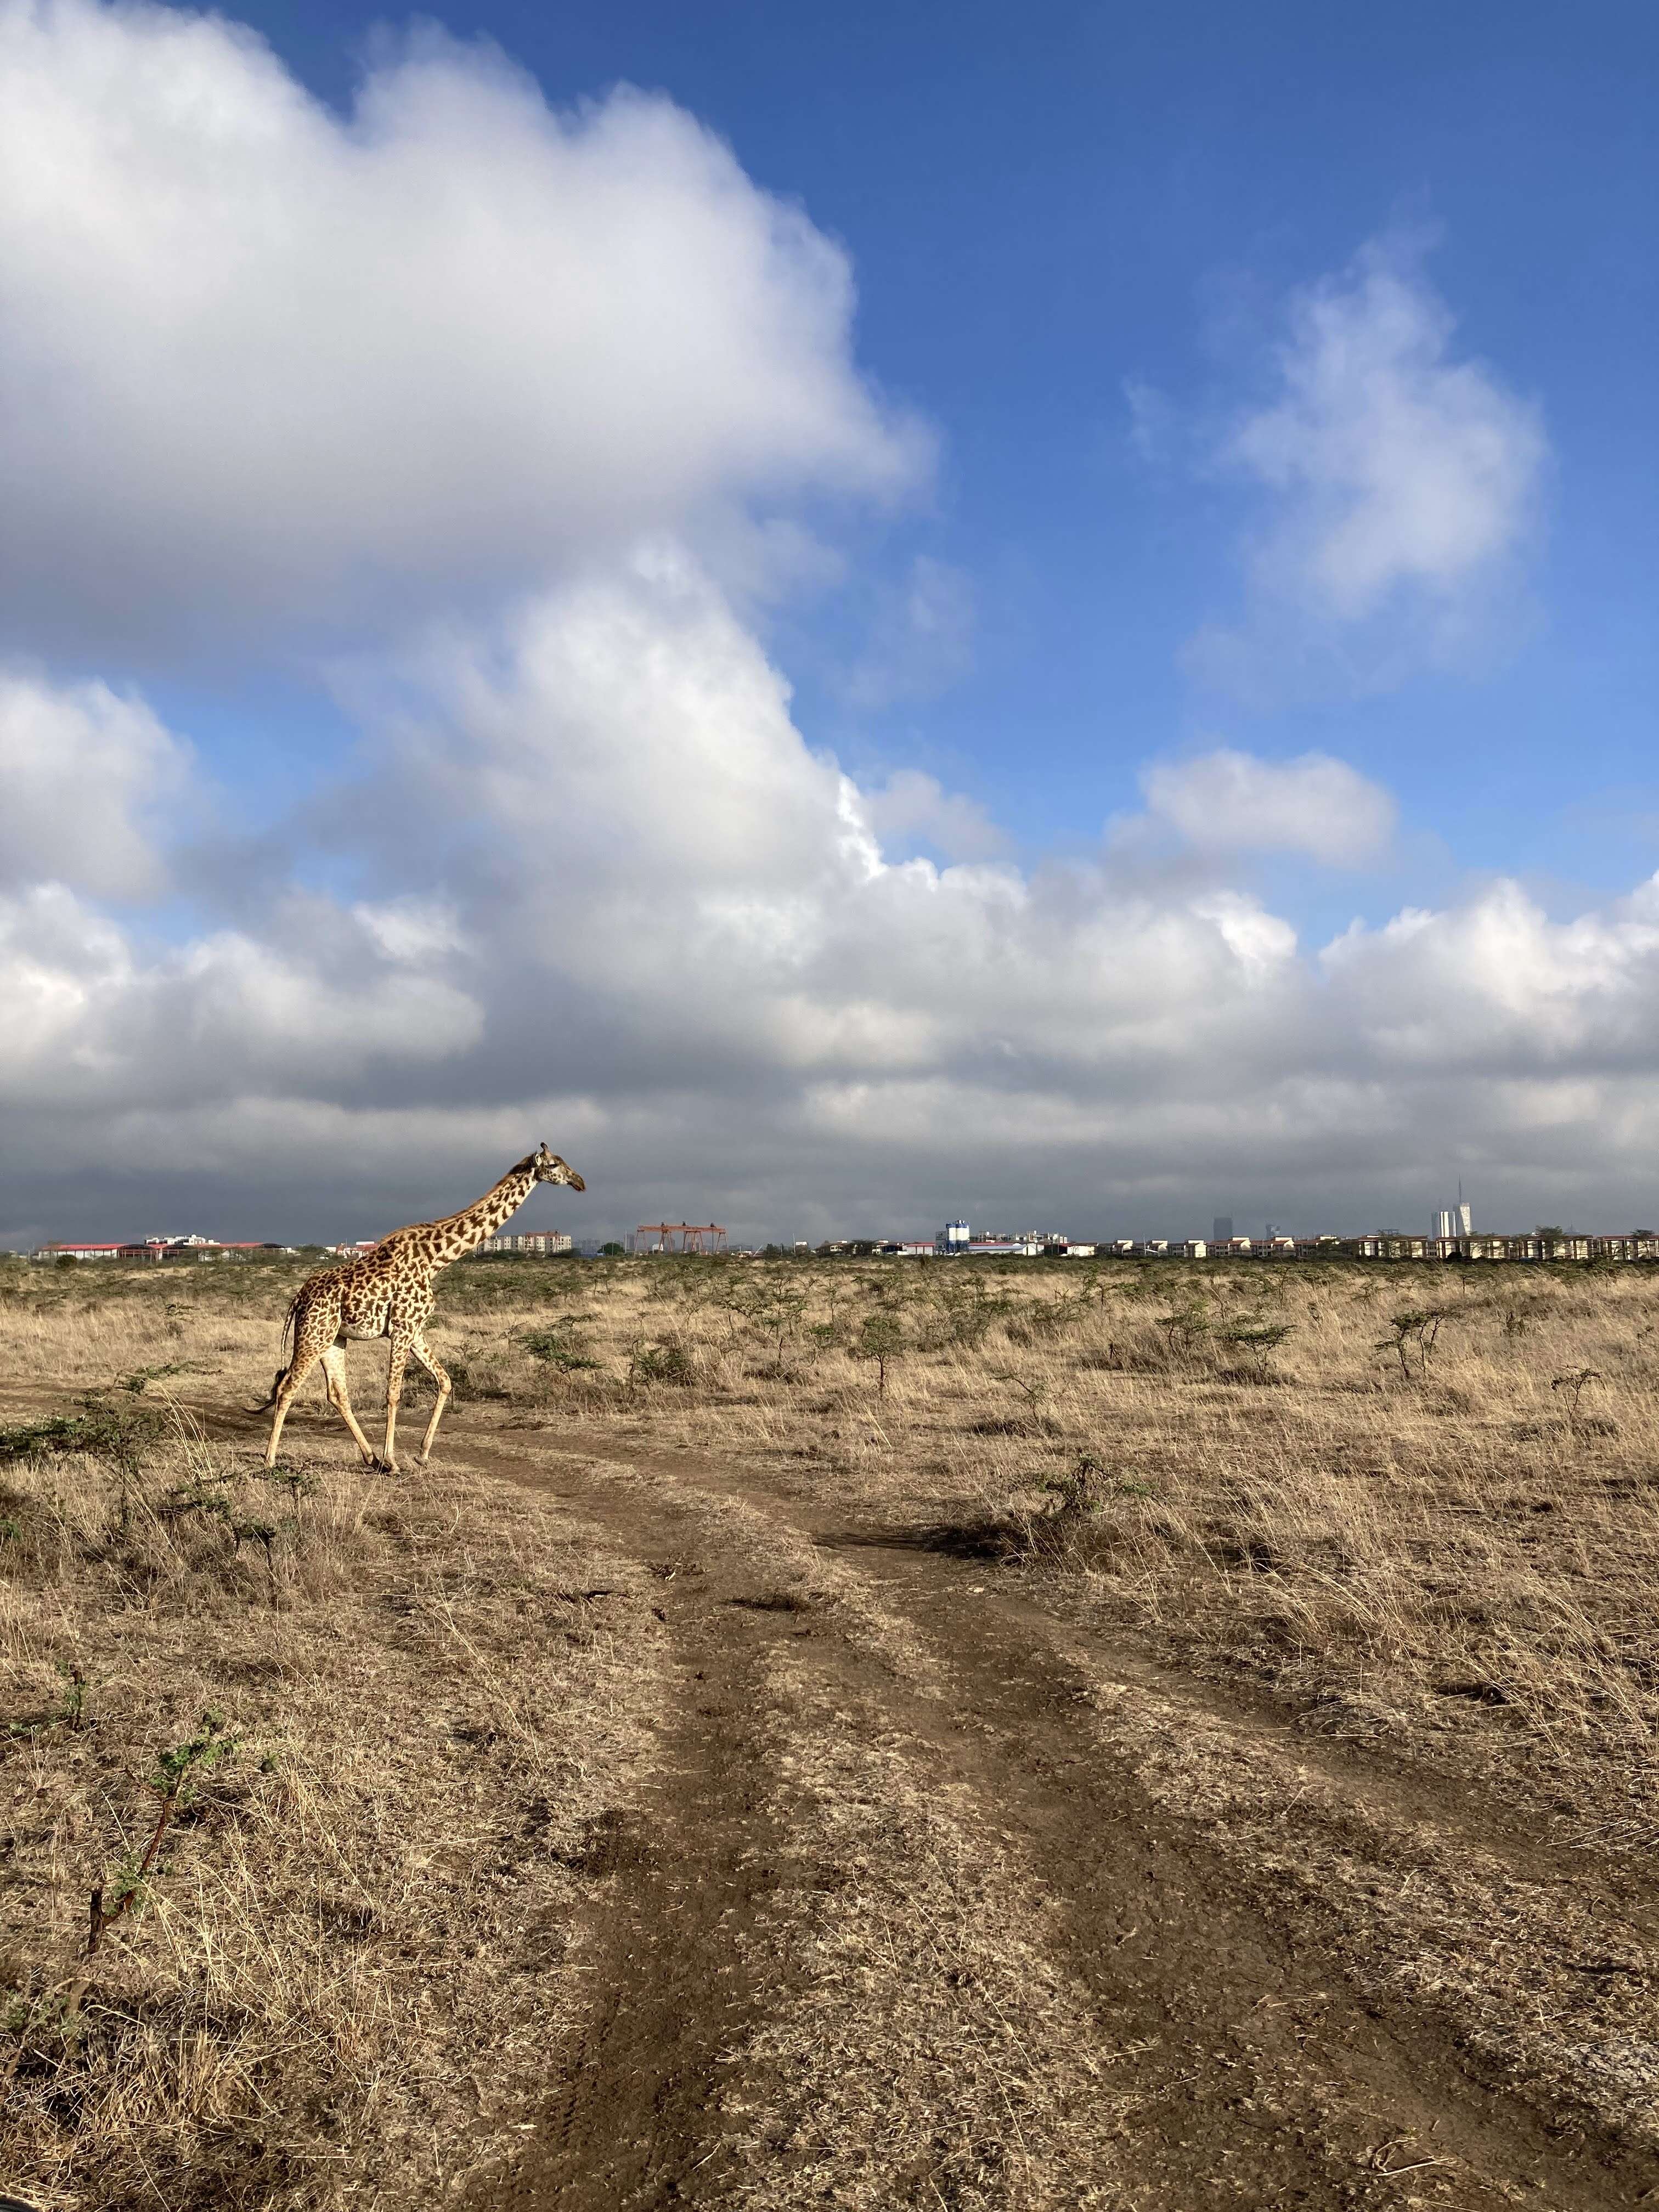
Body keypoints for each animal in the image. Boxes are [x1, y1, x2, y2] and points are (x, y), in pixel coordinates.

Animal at [263, 1150, 588, 1477]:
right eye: (554, 1165)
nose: (580, 1182)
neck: (436, 1259)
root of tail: (299, 1298)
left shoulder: (415, 1329)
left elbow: (445, 1381)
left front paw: (422, 1454)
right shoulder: (402, 1327)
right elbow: (393, 1393)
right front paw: (394, 1461)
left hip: (333, 1339)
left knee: (337, 1393)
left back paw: (371, 1458)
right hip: (313, 1335)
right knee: (287, 1387)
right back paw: (270, 1460)